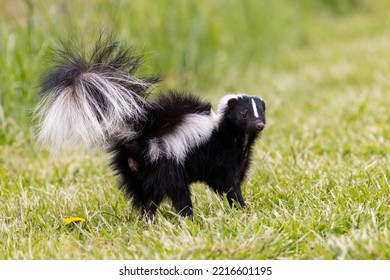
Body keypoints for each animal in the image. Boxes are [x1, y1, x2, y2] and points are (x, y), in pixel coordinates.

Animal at [35, 35, 266, 220]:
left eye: (261, 112)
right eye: (244, 114)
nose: (259, 124)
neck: (232, 136)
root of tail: (141, 135)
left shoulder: (239, 159)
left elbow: (234, 181)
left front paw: (241, 209)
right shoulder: (219, 157)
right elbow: (227, 184)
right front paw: (242, 208)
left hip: (135, 170)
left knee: (146, 196)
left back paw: (147, 220)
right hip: (166, 162)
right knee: (177, 193)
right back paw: (187, 218)